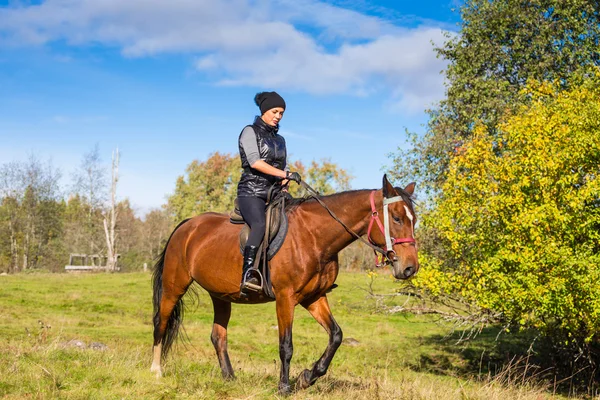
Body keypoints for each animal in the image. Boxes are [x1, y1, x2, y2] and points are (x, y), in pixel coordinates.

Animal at [152, 175, 420, 394]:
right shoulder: (285, 298)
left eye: (414, 220)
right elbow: (286, 345)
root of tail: (187, 225)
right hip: (174, 287)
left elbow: (336, 335)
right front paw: (284, 387)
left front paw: (307, 378)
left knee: (218, 336)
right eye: (397, 218)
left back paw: (229, 378)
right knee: (161, 324)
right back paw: (156, 370)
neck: (314, 237)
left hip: (220, 295)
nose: (410, 268)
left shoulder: (314, 297)